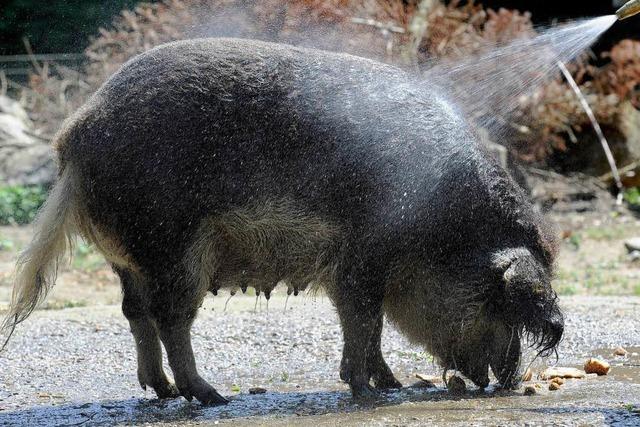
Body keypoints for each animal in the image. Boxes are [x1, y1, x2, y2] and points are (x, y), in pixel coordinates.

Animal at [1, 36, 560, 404]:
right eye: (498, 297)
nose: (511, 382)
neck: (443, 221)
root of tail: (75, 135)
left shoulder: (355, 269)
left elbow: (370, 324)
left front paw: (392, 384)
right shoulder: (362, 257)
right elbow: (363, 319)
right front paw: (368, 393)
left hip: (128, 257)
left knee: (135, 314)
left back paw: (163, 392)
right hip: (172, 246)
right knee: (171, 318)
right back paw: (210, 397)